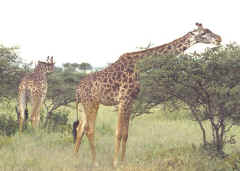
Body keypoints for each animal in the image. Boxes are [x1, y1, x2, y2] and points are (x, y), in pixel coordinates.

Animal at [73, 23, 221, 166]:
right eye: (204, 32)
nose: (219, 39)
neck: (140, 65)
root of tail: (78, 90)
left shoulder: (131, 100)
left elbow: (125, 133)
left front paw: (123, 162)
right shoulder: (123, 99)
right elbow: (119, 132)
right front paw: (115, 163)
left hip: (83, 106)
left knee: (80, 129)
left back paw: (76, 159)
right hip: (92, 103)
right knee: (89, 130)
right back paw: (95, 162)